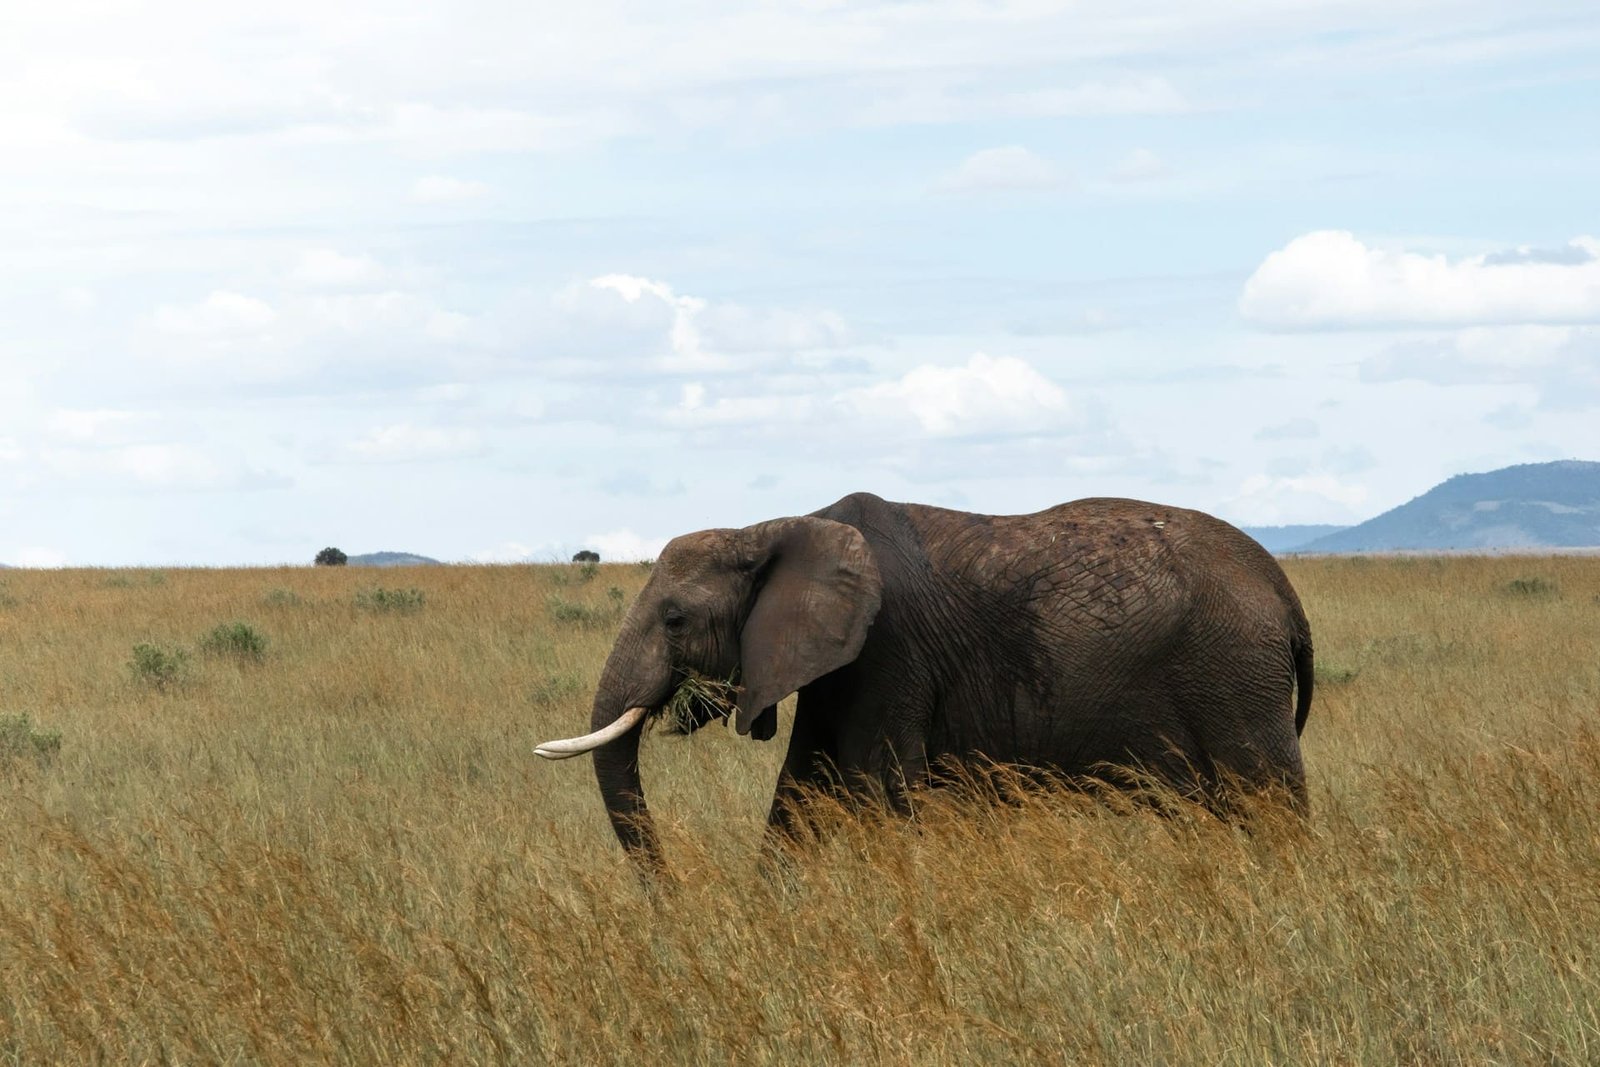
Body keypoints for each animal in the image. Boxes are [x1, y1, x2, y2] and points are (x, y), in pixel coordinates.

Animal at [537, 492, 1313, 871]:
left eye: (674, 619)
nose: (672, 896)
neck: (776, 528)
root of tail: (1282, 587)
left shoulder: (887, 652)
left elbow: (877, 793)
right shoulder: (836, 669)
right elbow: (798, 797)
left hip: (1235, 674)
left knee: (1271, 801)